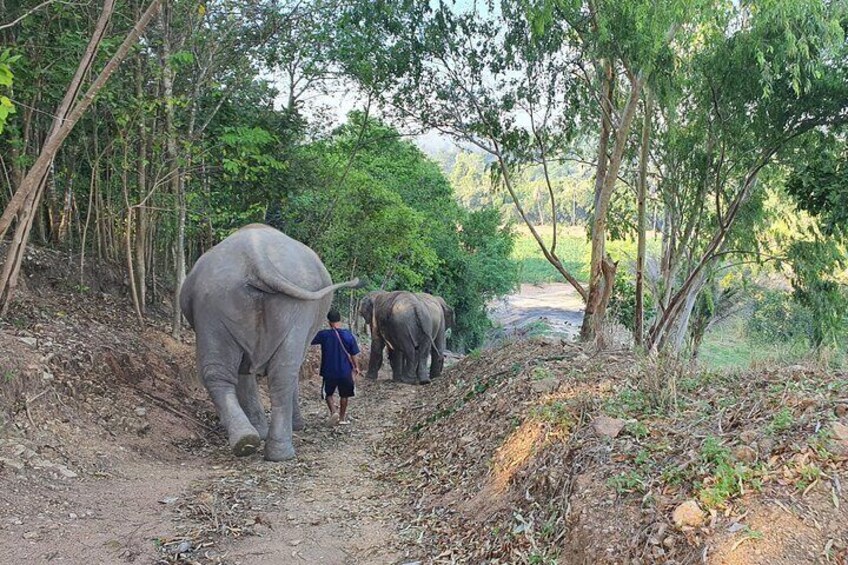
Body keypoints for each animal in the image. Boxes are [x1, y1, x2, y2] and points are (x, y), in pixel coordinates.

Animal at [181, 223, 360, 460]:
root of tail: (254, 256)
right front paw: (296, 427)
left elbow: (244, 371)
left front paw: (259, 432)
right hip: (294, 308)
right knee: (284, 372)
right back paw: (280, 452)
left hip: (213, 304)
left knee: (216, 372)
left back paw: (246, 440)